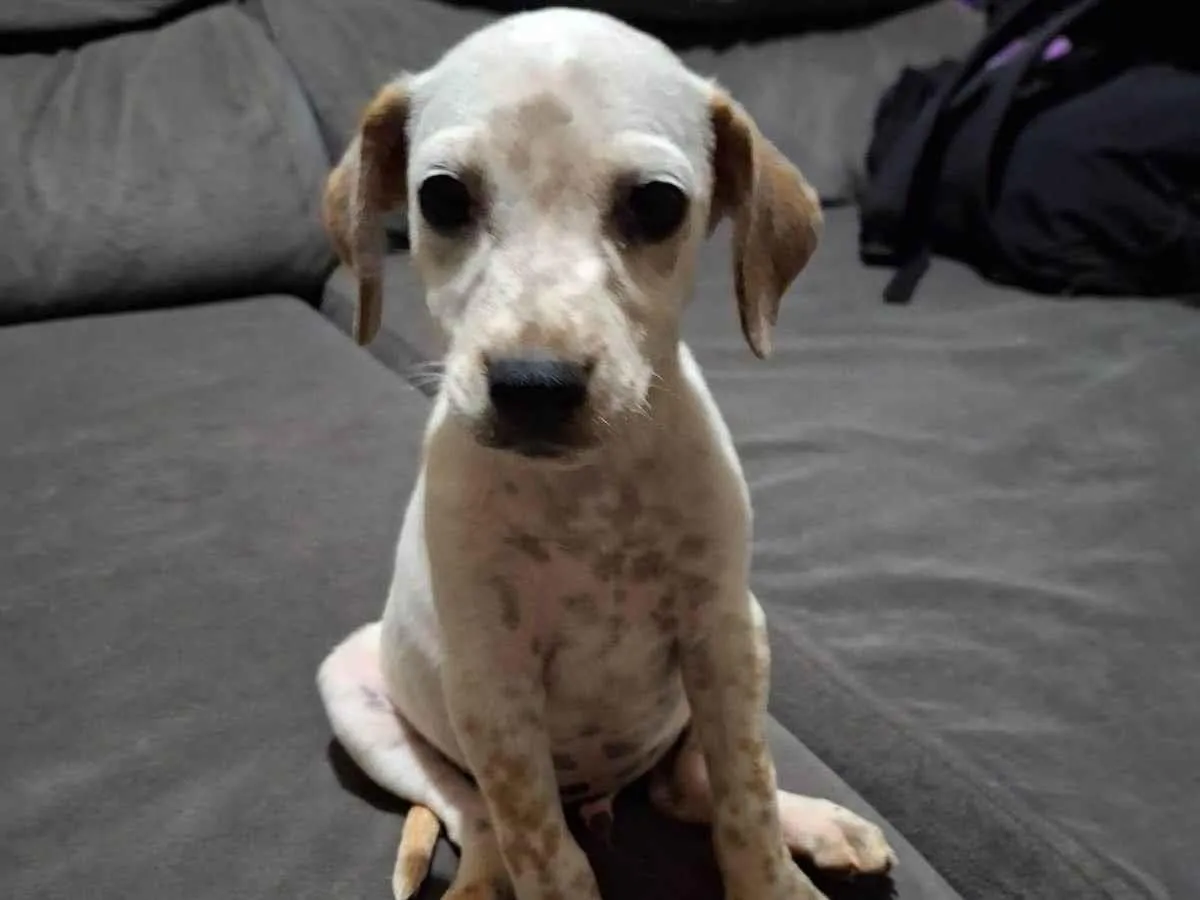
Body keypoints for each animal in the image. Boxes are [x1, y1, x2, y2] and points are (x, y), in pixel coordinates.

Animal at [317, 8, 897, 900]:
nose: (533, 385)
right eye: (442, 196)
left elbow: (747, 795)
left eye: (656, 205)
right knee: (474, 818)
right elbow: (537, 842)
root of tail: (600, 792)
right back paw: (477, 882)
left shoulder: (724, 631)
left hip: (727, 666)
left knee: (695, 789)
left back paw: (821, 828)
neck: (586, 494)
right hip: (358, 693)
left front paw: (771, 877)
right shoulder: (493, 684)